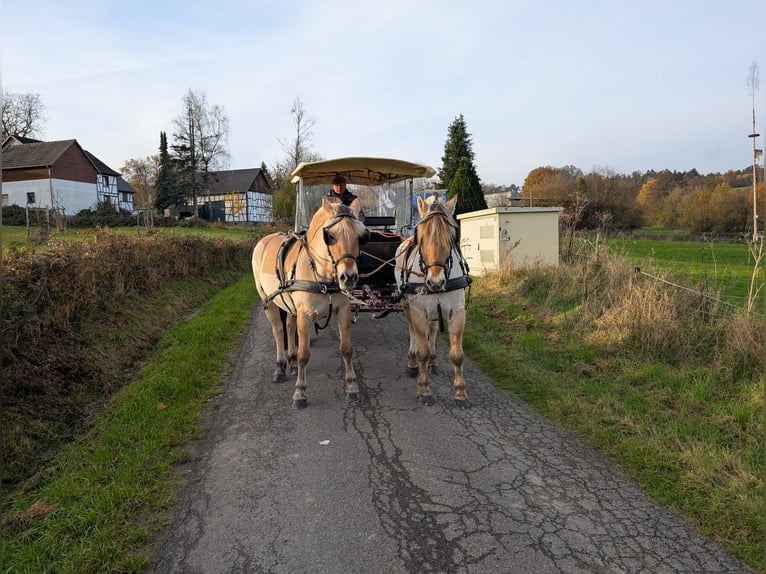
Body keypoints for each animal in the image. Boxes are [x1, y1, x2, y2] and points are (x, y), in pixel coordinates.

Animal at [254, 198, 370, 410]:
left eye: (361, 237)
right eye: (330, 236)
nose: (349, 277)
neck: (324, 277)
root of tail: (265, 240)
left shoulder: (344, 311)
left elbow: (346, 349)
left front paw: (351, 387)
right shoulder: (306, 315)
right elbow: (304, 354)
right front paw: (300, 392)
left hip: (291, 307)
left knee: (289, 327)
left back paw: (291, 363)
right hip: (269, 302)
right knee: (279, 331)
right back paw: (280, 368)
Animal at [396, 197, 474, 410]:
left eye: (452, 237)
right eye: (421, 237)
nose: (435, 282)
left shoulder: (458, 312)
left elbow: (457, 355)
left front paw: (460, 393)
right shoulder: (418, 311)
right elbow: (422, 351)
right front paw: (424, 390)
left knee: (432, 331)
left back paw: (433, 361)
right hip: (408, 306)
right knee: (413, 333)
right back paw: (412, 363)